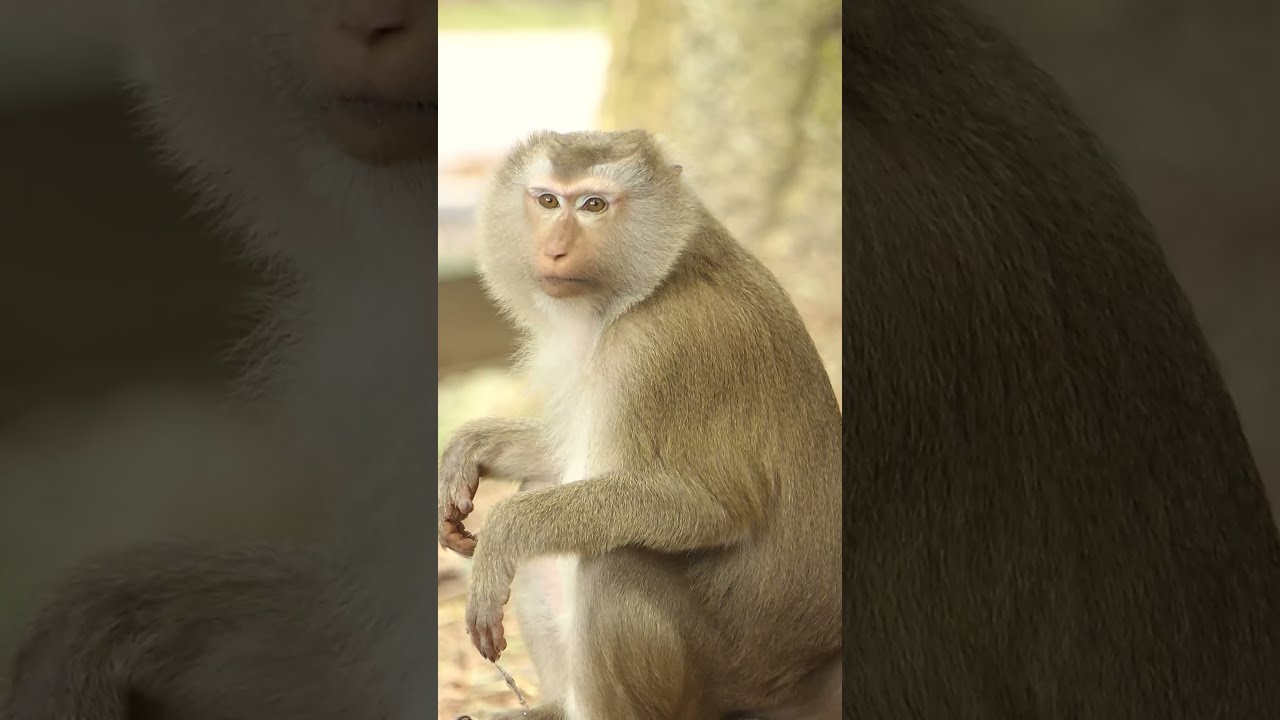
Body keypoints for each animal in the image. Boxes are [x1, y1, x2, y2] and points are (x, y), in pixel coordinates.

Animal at [436, 129, 843, 720]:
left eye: (594, 205)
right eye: (548, 200)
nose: (554, 248)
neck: (640, 289)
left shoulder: (656, 354)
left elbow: (709, 506)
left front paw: (503, 528)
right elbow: (563, 455)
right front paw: (471, 448)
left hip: (727, 680)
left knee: (612, 564)